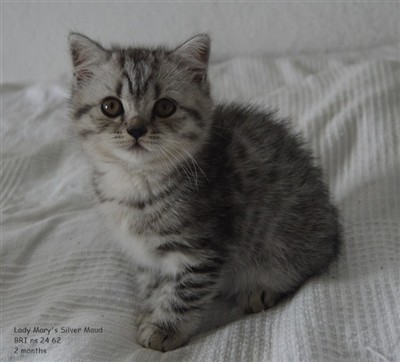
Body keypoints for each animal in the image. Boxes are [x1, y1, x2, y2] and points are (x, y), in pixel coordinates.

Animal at [67, 33, 340, 350]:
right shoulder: (146, 255)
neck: (136, 183)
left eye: (165, 107)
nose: (136, 129)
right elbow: (153, 284)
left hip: (288, 242)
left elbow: (183, 291)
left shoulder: (200, 248)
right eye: (111, 106)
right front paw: (150, 309)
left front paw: (165, 328)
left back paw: (261, 290)